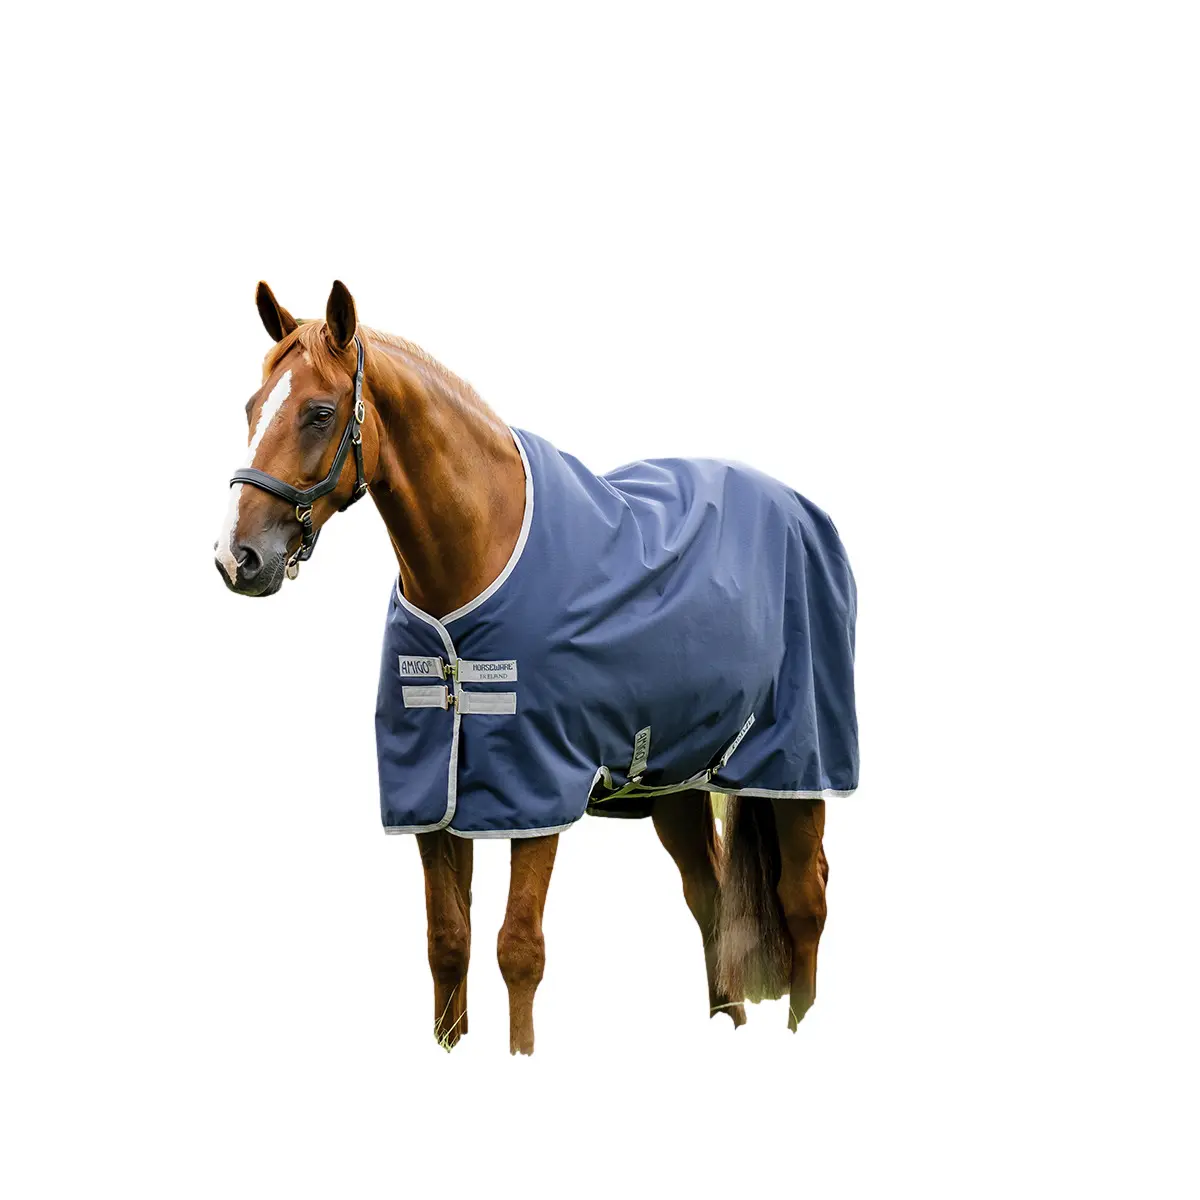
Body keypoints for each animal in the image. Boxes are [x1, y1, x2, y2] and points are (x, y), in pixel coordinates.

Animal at [215, 280, 856, 1054]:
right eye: (252, 407)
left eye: (317, 411)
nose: (237, 558)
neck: (477, 557)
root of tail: (801, 510)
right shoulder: (433, 798)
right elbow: (448, 943)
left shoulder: (538, 789)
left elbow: (518, 949)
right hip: (674, 780)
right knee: (709, 899)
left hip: (796, 766)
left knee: (805, 899)